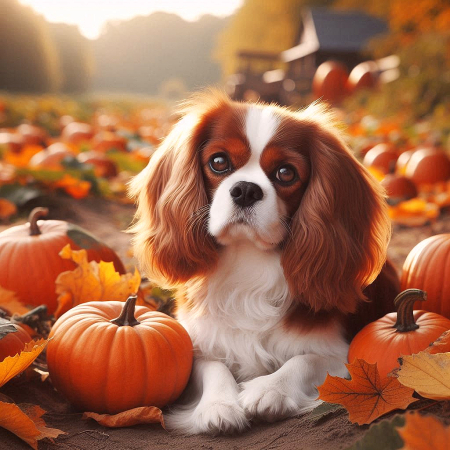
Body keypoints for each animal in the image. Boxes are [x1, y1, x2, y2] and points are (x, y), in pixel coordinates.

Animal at [128, 90, 400, 432]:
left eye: (286, 173)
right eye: (219, 162)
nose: (246, 190)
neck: (248, 261)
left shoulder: (341, 354)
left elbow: (305, 360)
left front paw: (271, 390)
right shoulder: (194, 344)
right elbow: (212, 366)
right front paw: (219, 405)